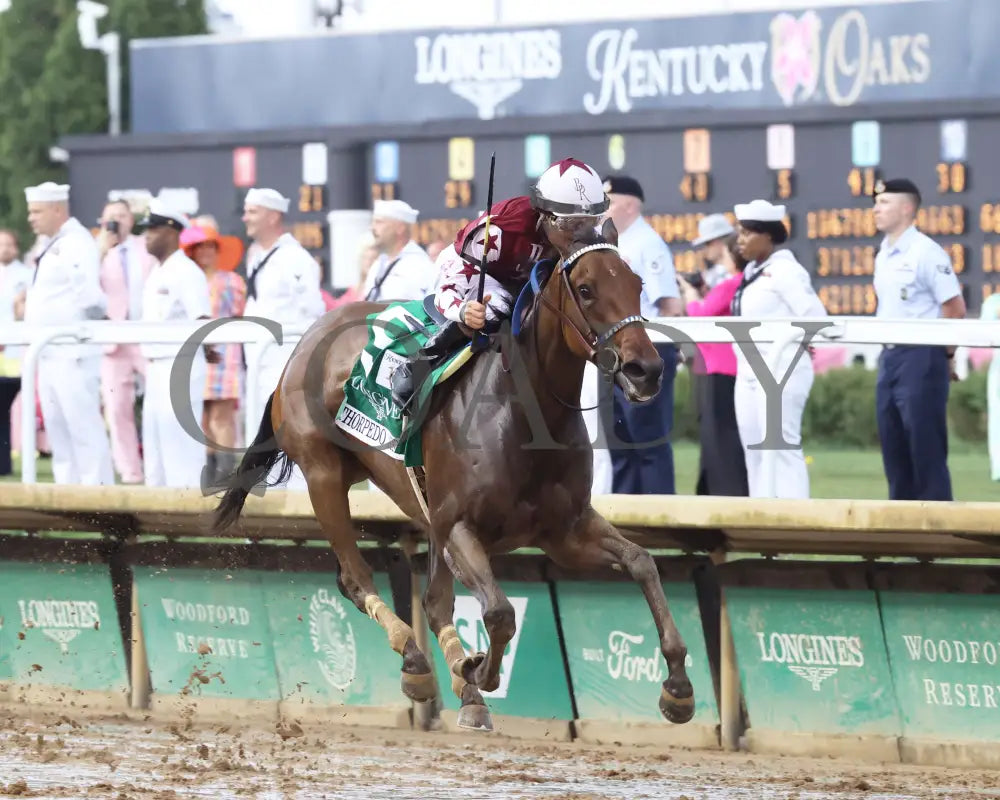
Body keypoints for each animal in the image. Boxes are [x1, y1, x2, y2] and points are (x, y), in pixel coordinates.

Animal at [213, 219, 696, 732]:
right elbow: (500, 613)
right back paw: (417, 661)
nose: (646, 370)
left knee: (429, 599)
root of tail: (307, 341)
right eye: (585, 289)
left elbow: (642, 562)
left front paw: (678, 687)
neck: (524, 415)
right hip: (323, 474)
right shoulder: (462, 526)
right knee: (356, 577)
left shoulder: (565, 531)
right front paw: (480, 669)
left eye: (637, 285)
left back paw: (461, 690)